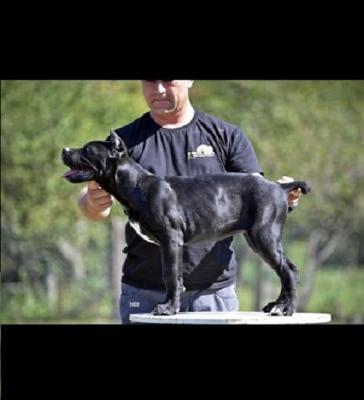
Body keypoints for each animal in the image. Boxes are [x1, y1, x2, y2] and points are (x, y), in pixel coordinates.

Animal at [61, 131, 310, 316]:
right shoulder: (170, 246)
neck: (137, 184)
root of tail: (279, 187)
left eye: (87, 150)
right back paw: (276, 305)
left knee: (287, 270)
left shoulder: (171, 241)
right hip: (258, 239)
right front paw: (172, 305)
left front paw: (168, 309)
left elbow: (169, 275)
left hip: (264, 236)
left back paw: (286, 308)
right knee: (286, 270)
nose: (64, 149)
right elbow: (175, 276)